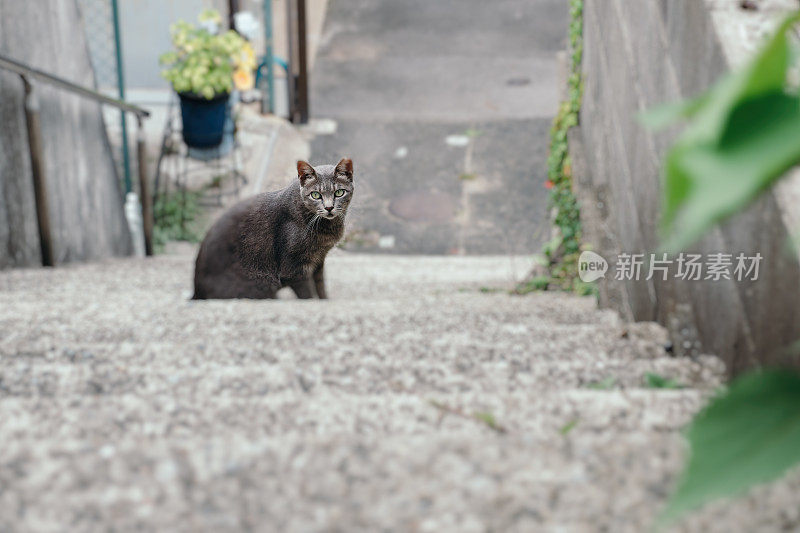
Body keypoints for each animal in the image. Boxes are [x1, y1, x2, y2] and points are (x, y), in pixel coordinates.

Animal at [191, 158, 354, 300]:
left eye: (339, 192)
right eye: (315, 195)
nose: (329, 208)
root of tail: (196, 290)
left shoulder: (319, 261)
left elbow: (321, 288)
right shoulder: (294, 271)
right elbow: (308, 295)